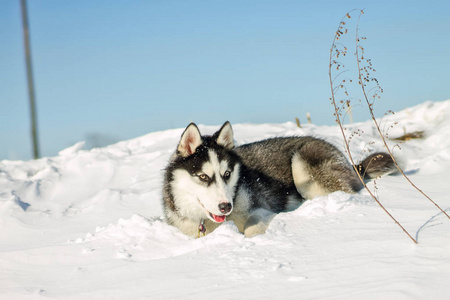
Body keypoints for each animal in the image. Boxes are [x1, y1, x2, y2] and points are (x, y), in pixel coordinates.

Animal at [162, 121, 394, 237]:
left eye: (227, 174)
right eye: (203, 176)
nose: (226, 206)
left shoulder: (261, 209)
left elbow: (251, 229)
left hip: (302, 164)